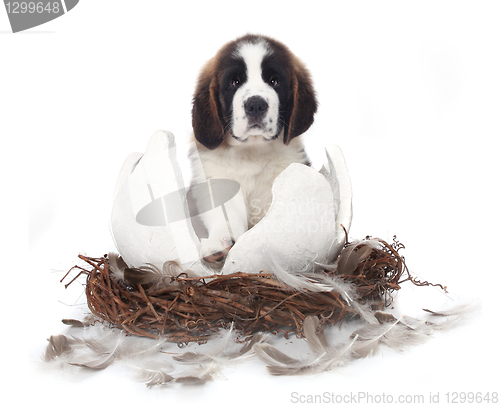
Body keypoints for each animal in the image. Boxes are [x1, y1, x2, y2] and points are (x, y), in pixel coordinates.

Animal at [189, 34, 318, 264]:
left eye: (274, 81)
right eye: (234, 82)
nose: (256, 105)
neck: (252, 151)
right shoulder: (215, 180)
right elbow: (223, 212)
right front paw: (220, 241)